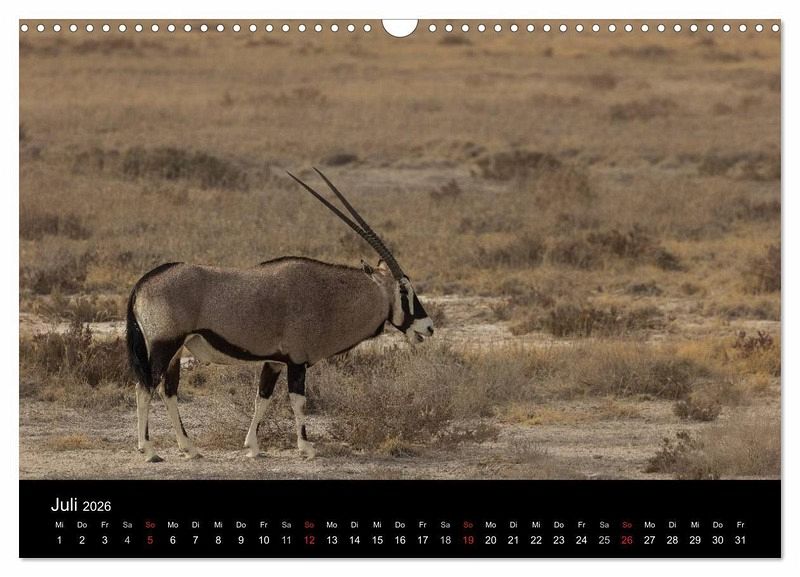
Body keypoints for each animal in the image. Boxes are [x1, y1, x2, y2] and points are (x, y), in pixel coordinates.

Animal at [126, 169, 434, 462]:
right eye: (404, 290)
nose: (429, 327)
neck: (327, 295)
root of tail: (143, 282)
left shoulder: (274, 361)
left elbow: (262, 398)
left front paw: (252, 447)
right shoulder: (297, 361)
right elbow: (298, 401)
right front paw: (307, 448)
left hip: (177, 350)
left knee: (168, 390)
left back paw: (190, 448)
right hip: (164, 345)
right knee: (145, 387)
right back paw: (149, 450)